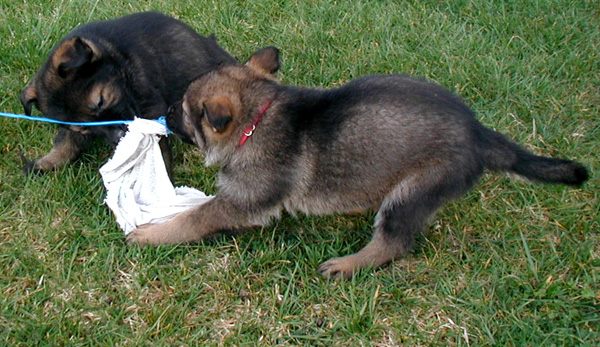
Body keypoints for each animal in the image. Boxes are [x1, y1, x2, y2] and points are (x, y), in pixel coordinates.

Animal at [18, 11, 237, 177]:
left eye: (101, 101)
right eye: (84, 128)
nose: (119, 137)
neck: (118, 58)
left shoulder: (150, 106)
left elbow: (158, 149)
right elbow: (66, 141)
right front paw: (47, 162)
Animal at [124, 47, 588, 280]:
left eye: (185, 111)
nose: (164, 112)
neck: (257, 119)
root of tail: (479, 133)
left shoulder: (243, 201)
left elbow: (196, 218)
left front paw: (154, 233)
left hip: (413, 192)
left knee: (393, 243)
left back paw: (348, 265)